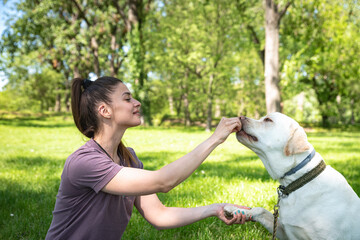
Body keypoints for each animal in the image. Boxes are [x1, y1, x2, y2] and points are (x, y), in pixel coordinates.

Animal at [225, 112, 360, 240]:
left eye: (268, 120)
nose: (241, 116)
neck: (300, 179)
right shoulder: (284, 230)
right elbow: (260, 210)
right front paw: (235, 210)